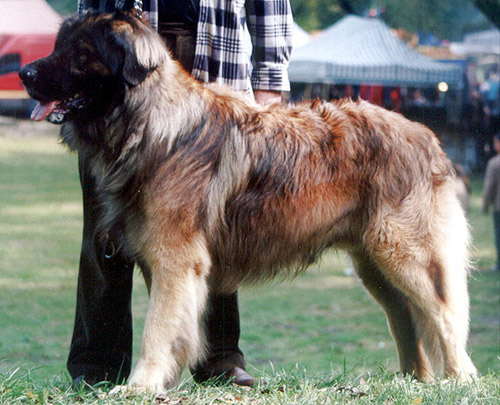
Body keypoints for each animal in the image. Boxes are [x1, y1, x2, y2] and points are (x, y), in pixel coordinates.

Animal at [20, 11, 476, 392]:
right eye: (59, 46)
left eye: (81, 54)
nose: (23, 72)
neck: (151, 123)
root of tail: (427, 135)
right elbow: (174, 325)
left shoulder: (174, 258)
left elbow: (157, 328)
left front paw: (140, 386)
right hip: (373, 262)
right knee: (406, 318)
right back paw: (411, 380)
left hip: (405, 252)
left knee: (444, 316)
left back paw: (458, 381)